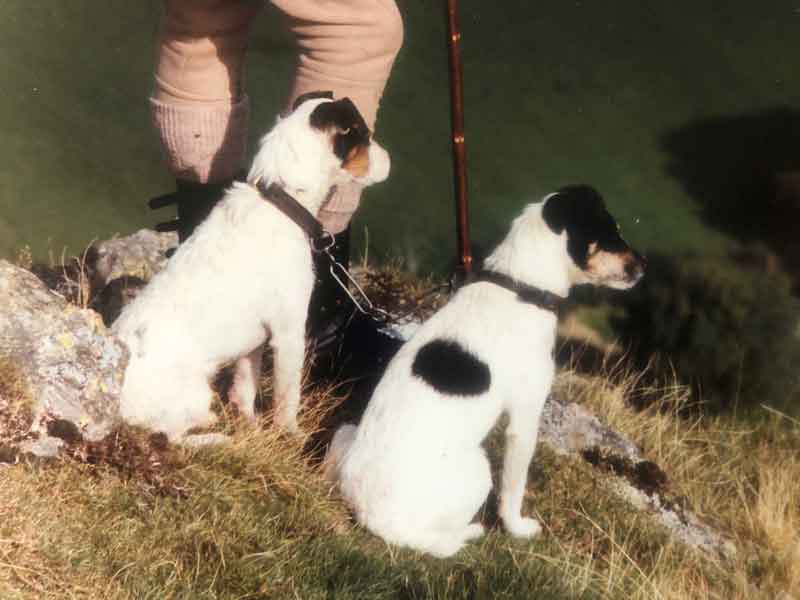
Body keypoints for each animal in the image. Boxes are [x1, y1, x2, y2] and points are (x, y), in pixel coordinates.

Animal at [113, 95, 390, 440]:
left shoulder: (254, 343)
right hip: (193, 394)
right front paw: (291, 435)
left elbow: (245, 387)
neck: (282, 199)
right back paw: (215, 435)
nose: (390, 161)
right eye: (364, 136)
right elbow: (287, 398)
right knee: (172, 437)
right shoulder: (289, 334)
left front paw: (251, 424)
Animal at [324, 188, 644, 556]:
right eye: (610, 232)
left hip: (345, 434)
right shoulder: (525, 420)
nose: (644, 267)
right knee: (437, 541)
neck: (520, 286)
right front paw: (518, 529)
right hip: (480, 470)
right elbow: (514, 489)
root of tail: (369, 515)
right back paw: (470, 532)